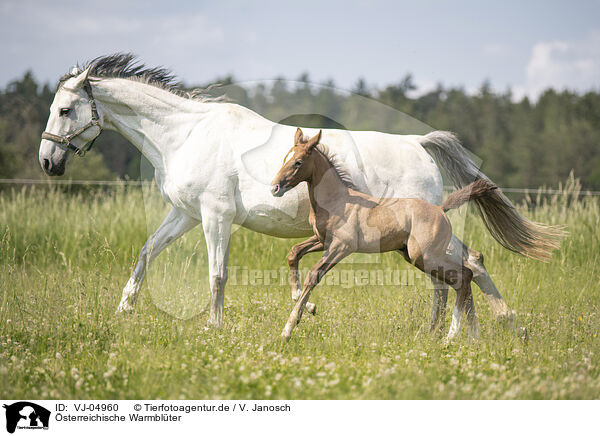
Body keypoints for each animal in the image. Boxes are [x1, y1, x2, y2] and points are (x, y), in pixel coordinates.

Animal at [272, 127, 502, 340]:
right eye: (284, 158)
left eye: (298, 162)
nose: (275, 187)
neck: (337, 201)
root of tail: (440, 209)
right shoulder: (322, 240)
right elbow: (294, 253)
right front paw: (304, 307)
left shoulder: (342, 246)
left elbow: (313, 275)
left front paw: (287, 329)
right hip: (415, 256)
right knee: (459, 279)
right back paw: (466, 336)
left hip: (424, 255)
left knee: (464, 275)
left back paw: (452, 336)